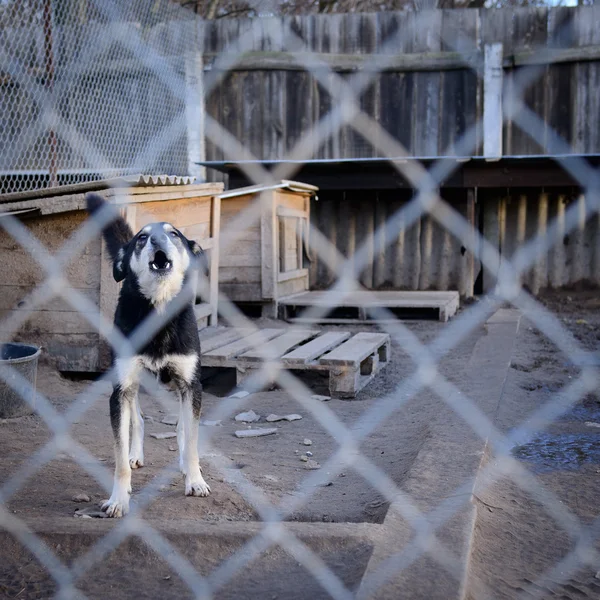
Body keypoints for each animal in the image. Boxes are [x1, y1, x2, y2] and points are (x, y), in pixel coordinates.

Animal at [86, 195, 211, 516]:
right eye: (141, 238)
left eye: (174, 234)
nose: (156, 240)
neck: (158, 310)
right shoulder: (121, 389)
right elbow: (120, 453)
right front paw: (118, 498)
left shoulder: (191, 385)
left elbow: (192, 438)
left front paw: (194, 479)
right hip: (133, 385)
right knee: (138, 420)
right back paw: (135, 455)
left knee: (181, 427)